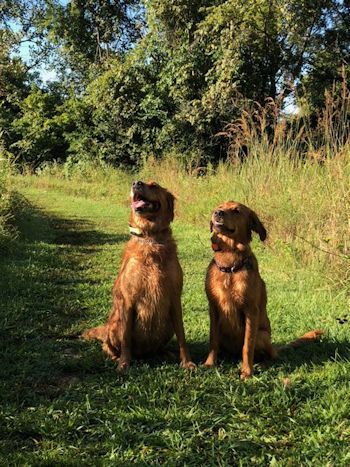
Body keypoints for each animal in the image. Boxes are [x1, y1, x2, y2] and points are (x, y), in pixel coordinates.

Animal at [83, 181, 196, 372]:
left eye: (154, 185)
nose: (136, 183)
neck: (151, 238)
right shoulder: (129, 300)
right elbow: (126, 339)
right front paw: (124, 363)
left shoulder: (175, 297)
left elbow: (182, 336)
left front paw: (187, 362)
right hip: (115, 325)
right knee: (108, 345)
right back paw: (116, 357)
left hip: (167, 324)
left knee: (159, 347)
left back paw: (166, 353)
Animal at [205, 201, 322, 380]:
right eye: (219, 206)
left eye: (236, 210)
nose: (218, 213)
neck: (230, 266)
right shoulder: (214, 308)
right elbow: (213, 340)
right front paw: (209, 363)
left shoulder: (250, 311)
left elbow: (247, 346)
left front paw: (247, 372)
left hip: (262, 336)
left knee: (272, 356)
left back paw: (261, 364)